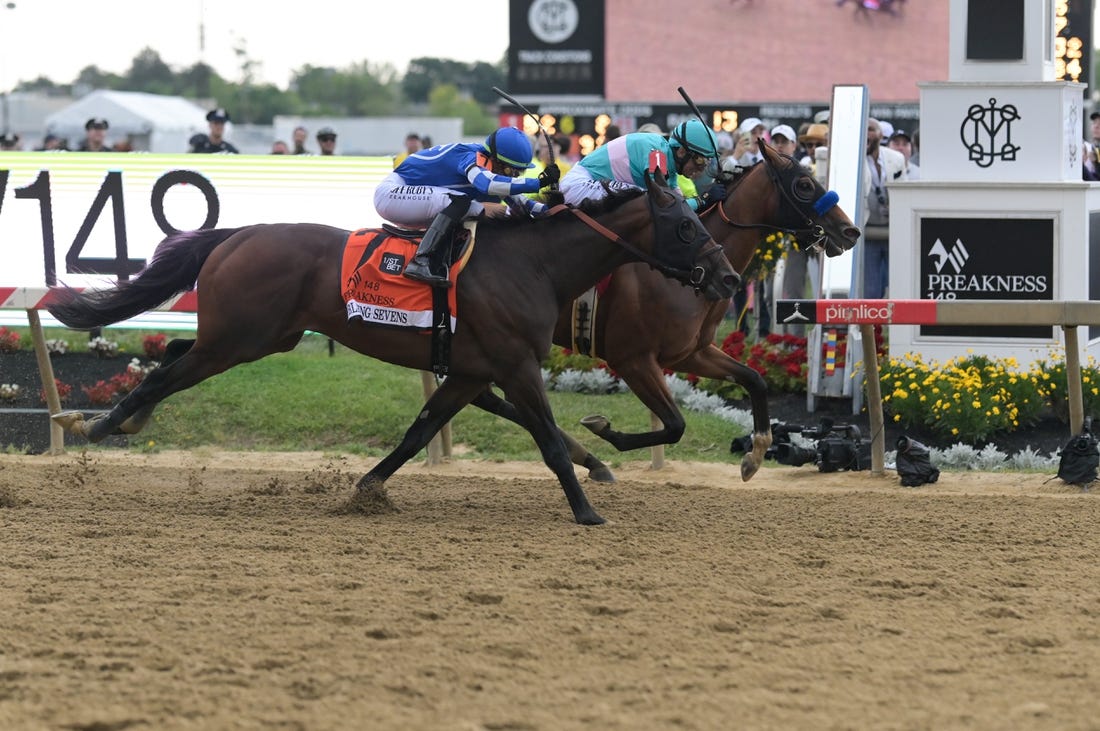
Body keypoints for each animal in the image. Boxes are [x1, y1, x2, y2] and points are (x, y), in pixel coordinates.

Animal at [49, 171, 739, 525]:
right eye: (685, 226)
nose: (728, 279)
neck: (535, 264)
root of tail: (237, 233)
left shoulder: (472, 371)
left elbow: (418, 432)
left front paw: (366, 488)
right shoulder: (516, 365)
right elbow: (546, 439)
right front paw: (587, 508)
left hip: (257, 336)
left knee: (169, 355)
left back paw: (120, 418)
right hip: (239, 339)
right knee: (163, 374)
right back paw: (99, 423)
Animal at [470, 142, 858, 483]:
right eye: (804, 185)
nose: (850, 231)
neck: (685, 274)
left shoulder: (691, 353)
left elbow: (755, 380)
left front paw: (756, 454)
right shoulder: (633, 359)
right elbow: (675, 425)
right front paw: (604, 427)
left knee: (486, 396)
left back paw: (589, 459)